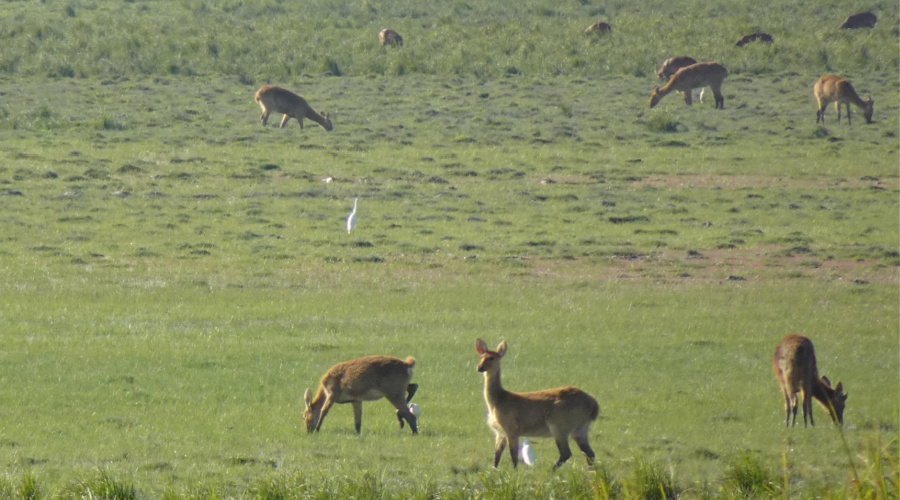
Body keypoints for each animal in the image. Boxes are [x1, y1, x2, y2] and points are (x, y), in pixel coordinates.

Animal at [474, 340, 600, 468]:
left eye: (491, 358)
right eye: (482, 357)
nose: (480, 367)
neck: (497, 401)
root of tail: (594, 404)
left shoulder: (511, 428)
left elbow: (513, 455)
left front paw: (514, 471)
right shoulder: (500, 432)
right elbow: (497, 456)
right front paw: (495, 470)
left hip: (559, 424)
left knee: (566, 453)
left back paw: (551, 469)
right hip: (581, 428)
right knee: (589, 453)